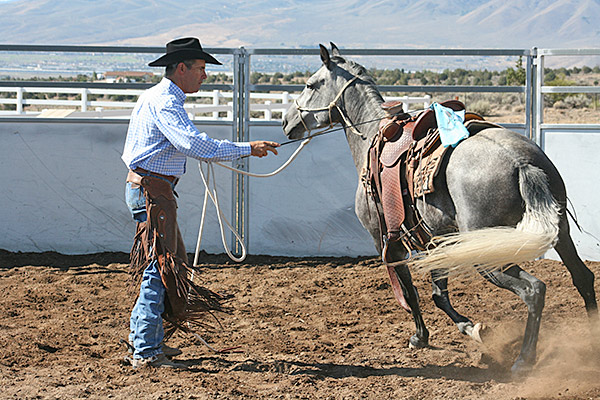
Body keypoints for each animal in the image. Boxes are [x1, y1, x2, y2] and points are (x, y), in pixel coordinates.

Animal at [282, 43, 600, 376]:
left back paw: (524, 361)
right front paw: (471, 328)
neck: (371, 139)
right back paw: (590, 344)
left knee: (534, 290)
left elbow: (410, 290)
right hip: (559, 233)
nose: (287, 122)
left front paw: (423, 336)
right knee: (582, 278)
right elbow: (438, 293)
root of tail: (521, 162)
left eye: (310, 85)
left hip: (488, 253)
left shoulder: (387, 241)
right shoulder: (439, 240)